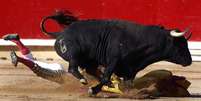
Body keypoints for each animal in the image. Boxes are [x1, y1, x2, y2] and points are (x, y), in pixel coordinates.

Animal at [40, 11, 192, 94]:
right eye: (181, 44)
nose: (189, 61)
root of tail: (60, 33)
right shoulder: (114, 60)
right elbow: (106, 76)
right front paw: (93, 90)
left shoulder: (131, 69)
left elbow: (127, 83)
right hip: (74, 55)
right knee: (73, 68)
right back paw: (85, 81)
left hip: (89, 61)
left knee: (90, 71)